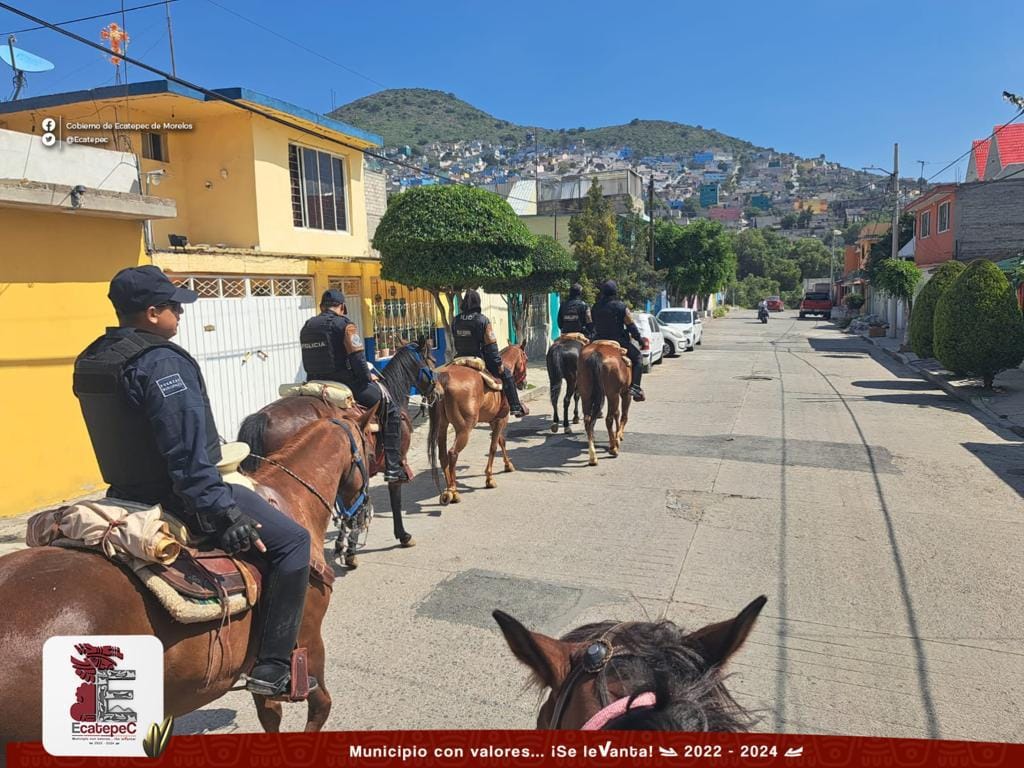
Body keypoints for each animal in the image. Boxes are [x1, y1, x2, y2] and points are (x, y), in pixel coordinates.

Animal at [0, 415, 372, 745]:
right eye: (371, 440)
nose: (363, 510)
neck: (291, 500)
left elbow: (270, 715)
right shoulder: (308, 640)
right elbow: (320, 707)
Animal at [428, 342, 532, 505]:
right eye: (526, 359)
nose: (524, 383)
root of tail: (444, 380)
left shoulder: (494, 420)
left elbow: (501, 441)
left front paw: (508, 464)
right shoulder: (501, 419)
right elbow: (494, 446)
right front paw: (489, 478)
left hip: (442, 427)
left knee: (443, 455)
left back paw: (448, 491)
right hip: (464, 429)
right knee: (452, 453)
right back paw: (453, 491)